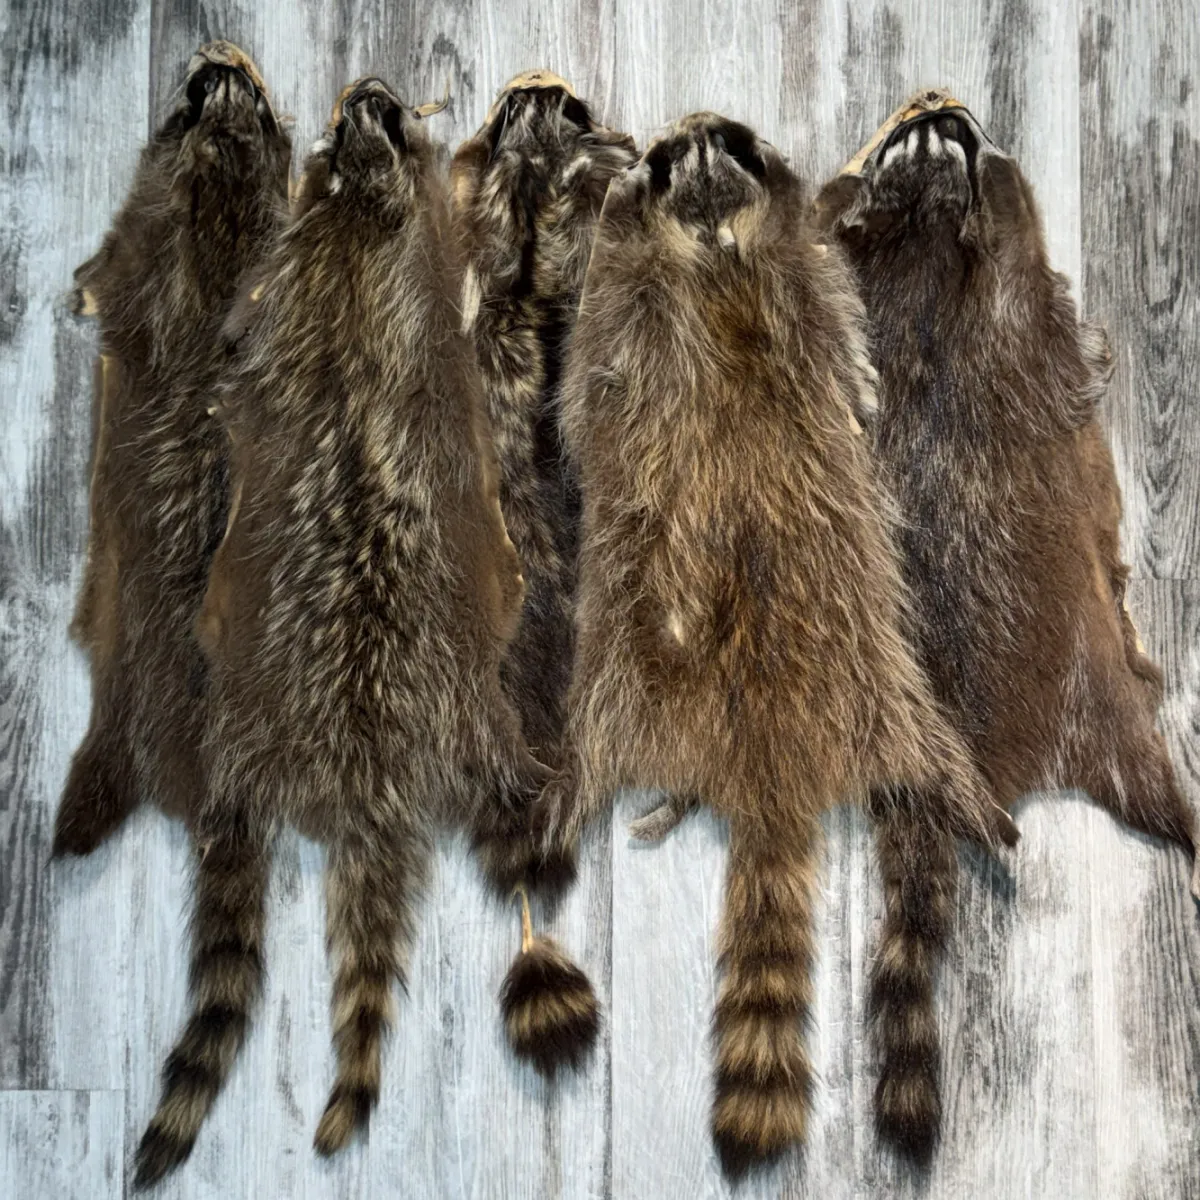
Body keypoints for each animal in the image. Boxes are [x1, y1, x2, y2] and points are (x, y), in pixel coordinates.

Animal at [540, 112, 1018, 1175]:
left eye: (732, 140)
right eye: (681, 152)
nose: (688, 133)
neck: (715, 244)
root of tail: (768, 755)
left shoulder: (800, 283)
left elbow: (837, 357)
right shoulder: (651, 306)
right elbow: (594, 380)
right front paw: (615, 193)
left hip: (875, 669)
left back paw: (960, 789)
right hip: (627, 658)